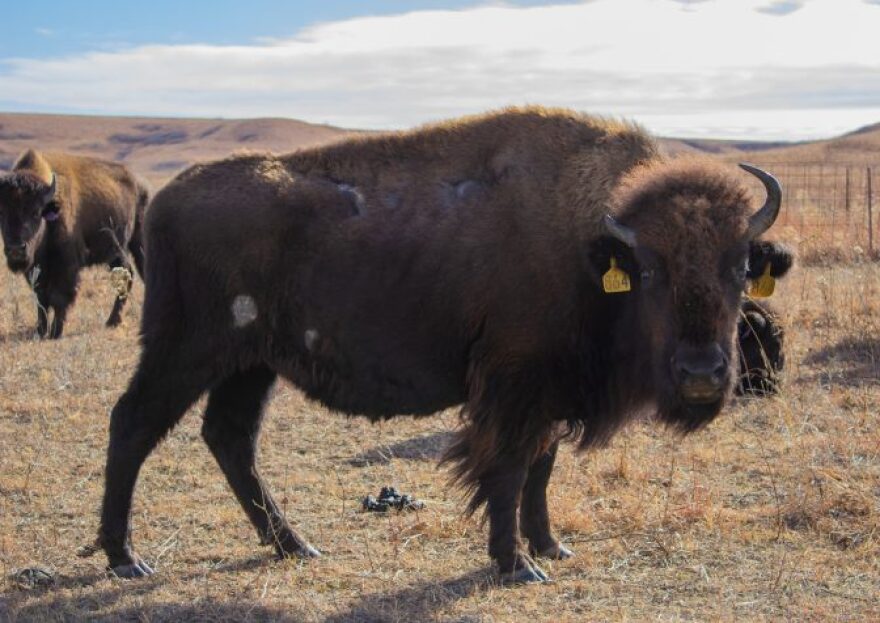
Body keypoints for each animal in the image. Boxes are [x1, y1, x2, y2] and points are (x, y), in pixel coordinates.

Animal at [0, 149, 149, 338]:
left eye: (35, 213)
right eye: (2, 213)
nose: (15, 250)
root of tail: (140, 185)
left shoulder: (66, 266)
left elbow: (59, 298)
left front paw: (55, 332)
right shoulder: (36, 269)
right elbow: (41, 299)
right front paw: (40, 331)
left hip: (137, 243)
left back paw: (113, 321)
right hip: (115, 251)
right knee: (127, 273)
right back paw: (112, 321)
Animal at [96, 108, 792, 584]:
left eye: (740, 266)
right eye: (649, 270)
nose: (702, 374)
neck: (593, 245)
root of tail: (164, 200)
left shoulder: (547, 394)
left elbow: (540, 468)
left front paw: (552, 546)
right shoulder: (513, 388)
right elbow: (508, 470)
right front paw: (518, 566)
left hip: (251, 365)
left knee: (230, 438)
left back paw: (296, 545)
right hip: (186, 351)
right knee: (134, 424)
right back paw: (126, 558)